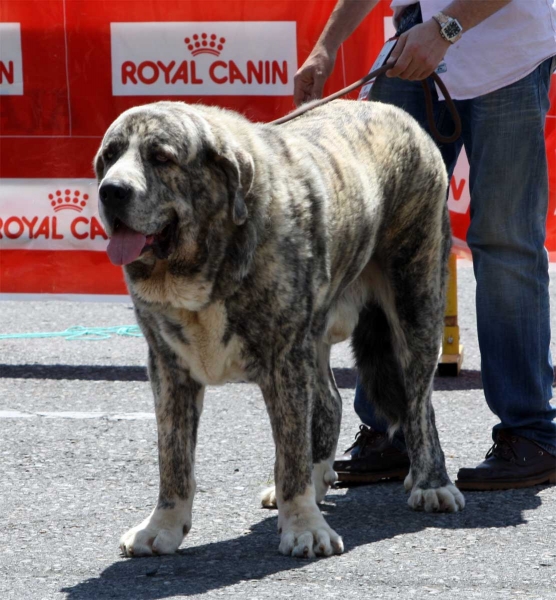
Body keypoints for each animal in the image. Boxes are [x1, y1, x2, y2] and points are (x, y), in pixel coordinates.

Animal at [95, 98, 464, 556]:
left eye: (161, 158)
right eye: (110, 156)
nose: (111, 190)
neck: (208, 264)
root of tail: (395, 112)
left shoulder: (285, 359)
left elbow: (289, 453)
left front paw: (304, 525)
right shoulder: (168, 367)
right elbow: (173, 457)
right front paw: (162, 525)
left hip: (415, 302)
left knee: (419, 401)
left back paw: (431, 483)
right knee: (330, 403)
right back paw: (321, 480)